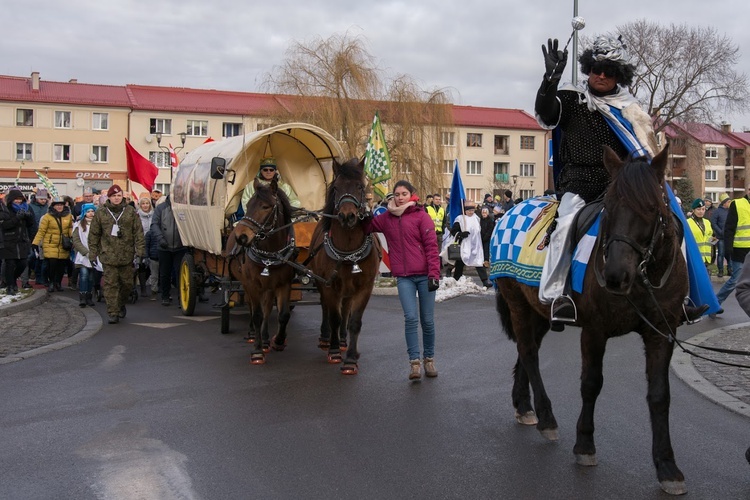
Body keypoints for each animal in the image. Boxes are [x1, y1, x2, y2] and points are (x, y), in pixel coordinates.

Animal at [228, 178, 298, 366]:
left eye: (266, 206)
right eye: (248, 204)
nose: (241, 236)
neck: (271, 251)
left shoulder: (283, 283)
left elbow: (283, 314)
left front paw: (278, 341)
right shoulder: (252, 284)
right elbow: (257, 314)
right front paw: (258, 351)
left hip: (269, 285)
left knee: (266, 307)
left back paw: (266, 338)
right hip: (247, 283)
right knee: (252, 307)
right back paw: (254, 333)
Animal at [310, 158, 382, 374]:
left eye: (360, 186)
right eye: (336, 187)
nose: (347, 216)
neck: (348, 250)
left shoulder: (365, 287)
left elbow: (354, 321)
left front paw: (350, 358)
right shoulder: (329, 286)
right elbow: (334, 317)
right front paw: (334, 351)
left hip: (349, 289)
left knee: (346, 311)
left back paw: (342, 340)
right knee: (327, 309)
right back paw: (327, 339)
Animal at [496, 146, 692, 496]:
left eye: (652, 208)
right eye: (609, 206)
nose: (614, 275)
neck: (642, 279)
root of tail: (509, 212)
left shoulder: (661, 333)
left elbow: (659, 395)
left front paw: (668, 467)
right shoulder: (594, 331)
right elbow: (591, 384)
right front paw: (585, 445)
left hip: (538, 311)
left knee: (525, 350)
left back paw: (524, 406)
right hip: (517, 302)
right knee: (529, 354)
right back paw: (546, 417)